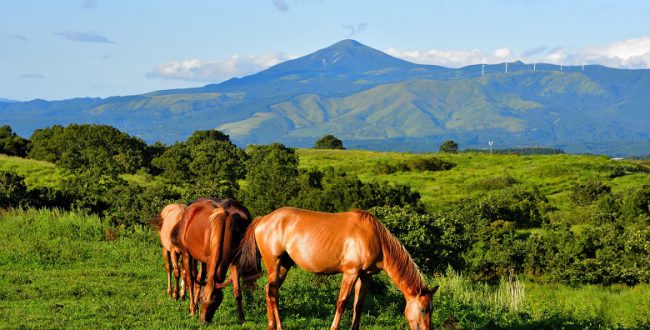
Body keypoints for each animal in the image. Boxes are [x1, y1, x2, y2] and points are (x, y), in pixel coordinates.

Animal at [239, 208, 440, 328]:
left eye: (431, 309)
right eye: (424, 309)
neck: (375, 237)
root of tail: (263, 220)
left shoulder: (365, 276)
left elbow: (358, 305)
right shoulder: (350, 273)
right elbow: (342, 303)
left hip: (283, 266)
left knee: (270, 291)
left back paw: (271, 325)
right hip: (274, 265)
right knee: (272, 291)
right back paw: (279, 326)